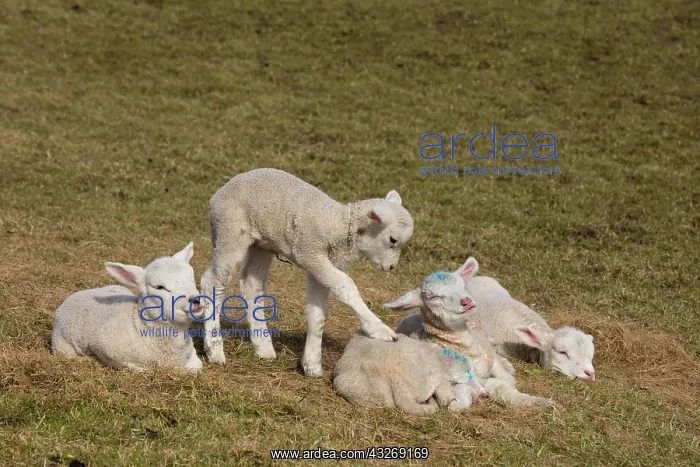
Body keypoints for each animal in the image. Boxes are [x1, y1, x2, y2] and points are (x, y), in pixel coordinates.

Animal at [51, 242, 206, 373]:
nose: (196, 300)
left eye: (192, 279)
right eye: (160, 287)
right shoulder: (106, 348)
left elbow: (196, 366)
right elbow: (139, 368)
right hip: (63, 347)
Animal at [199, 168, 414, 376]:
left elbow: (317, 313)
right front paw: (380, 330)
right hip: (230, 230)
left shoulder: (320, 267)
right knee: (213, 282)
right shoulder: (310, 253)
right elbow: (346, 285)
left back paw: (263, 347)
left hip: (262, 244)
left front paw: (312, 365)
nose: (391, 267)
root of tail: (216, 195)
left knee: (251, 285)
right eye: (393, 240)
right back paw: (215, 350)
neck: (341, 226)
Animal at [387, 258, 556, 407]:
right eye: (432, 296)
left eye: (462, 285)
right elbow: (498, 386)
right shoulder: (469, 375)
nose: (466, 301)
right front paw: (540, 402)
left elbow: (504, 376)